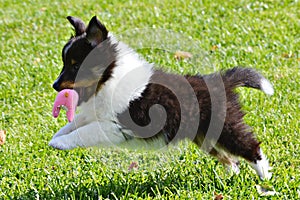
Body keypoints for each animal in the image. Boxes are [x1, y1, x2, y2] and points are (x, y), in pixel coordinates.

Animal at [49, 16, 274, 180]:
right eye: (65, 64)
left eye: (76, 66)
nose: (55, 85)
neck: (109, 78)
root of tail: (224, 81)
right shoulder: (97, 114)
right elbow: (74, 124)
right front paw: (56, 137)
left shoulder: (114, 126)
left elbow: (84, 132)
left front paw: (60, 143)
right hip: (205, 135)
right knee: (230, 159)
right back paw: (230, 176)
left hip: (226, 126)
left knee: (250, 147)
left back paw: (265, 178)